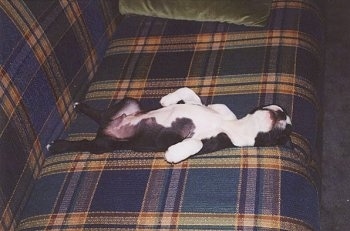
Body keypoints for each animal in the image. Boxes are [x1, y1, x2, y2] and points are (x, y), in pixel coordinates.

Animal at [47, 87, 292, 163]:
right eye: (278, 107)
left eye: (286, 131)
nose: (284, 112)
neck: (232, 126)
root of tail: (106, 126)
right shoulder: (217, 108)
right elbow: (190, 94)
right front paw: (167, 100)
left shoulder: (205, 142)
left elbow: (195, 144)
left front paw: (172, 154)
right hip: (127, 102)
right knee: (99, 113)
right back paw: (79, 105)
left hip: (103, 145)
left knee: (84, 143)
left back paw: (56, 145)